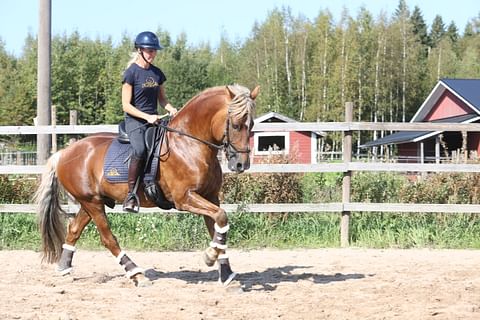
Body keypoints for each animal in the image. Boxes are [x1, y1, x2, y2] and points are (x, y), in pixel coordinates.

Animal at [34, 84, 258, 286]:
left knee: (74, 229)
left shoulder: (210, 196)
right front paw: (210, 256)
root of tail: (64, 153)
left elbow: (218, 226)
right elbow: (221, 217)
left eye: (252, 124)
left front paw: (226, 274)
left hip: (91, 202)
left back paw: (63, 267)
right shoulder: (184, 198)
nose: (241, 164)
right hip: (92, 203)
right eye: (236, 125)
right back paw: (136, 274)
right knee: (108, 238)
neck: (189, 144)